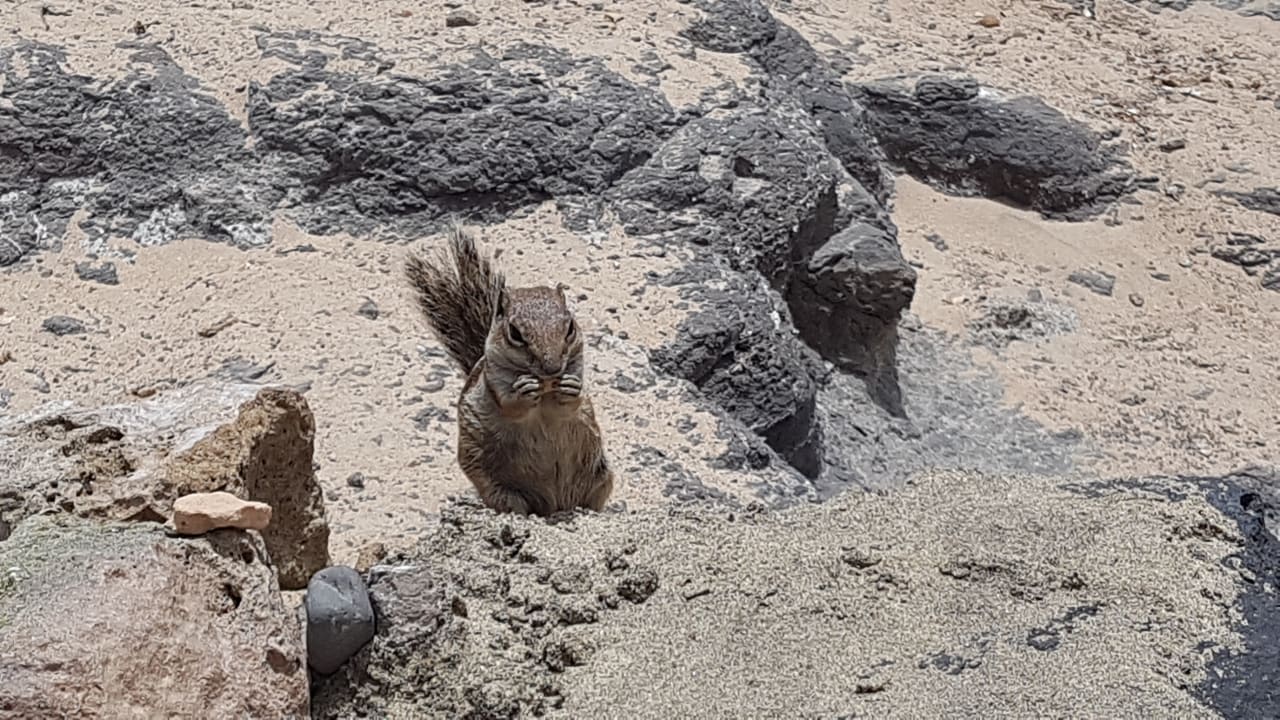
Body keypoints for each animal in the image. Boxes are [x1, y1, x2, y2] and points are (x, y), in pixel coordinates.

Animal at [404, 223, 615, 517]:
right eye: (515, 333)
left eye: (570, 327)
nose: (552, 369)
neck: (545, 390)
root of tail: (554, 505)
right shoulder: (494, 382)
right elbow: (510, 405)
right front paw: (524, 390)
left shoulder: (575, 371)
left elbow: (573, 404)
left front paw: (570, 389)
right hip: (500, 490)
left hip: (601, 477)